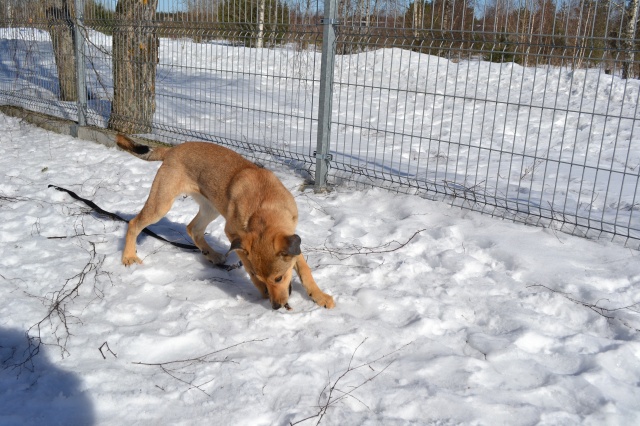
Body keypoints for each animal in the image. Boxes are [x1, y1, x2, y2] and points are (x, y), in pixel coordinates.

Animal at [115, 135, 335, 310]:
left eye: (279, 278)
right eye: (264, 279)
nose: (276, 306)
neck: (265, 206)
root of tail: (172, 150)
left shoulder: (290, 237)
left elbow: (305, 270)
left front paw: (319, 296)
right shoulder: (234, 236)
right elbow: (248, 266)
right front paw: (261, 289)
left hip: (210, 207)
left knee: (192, 228)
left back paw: (211, 255)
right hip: (161, 204)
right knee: (134, 223)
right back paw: (128, 257)